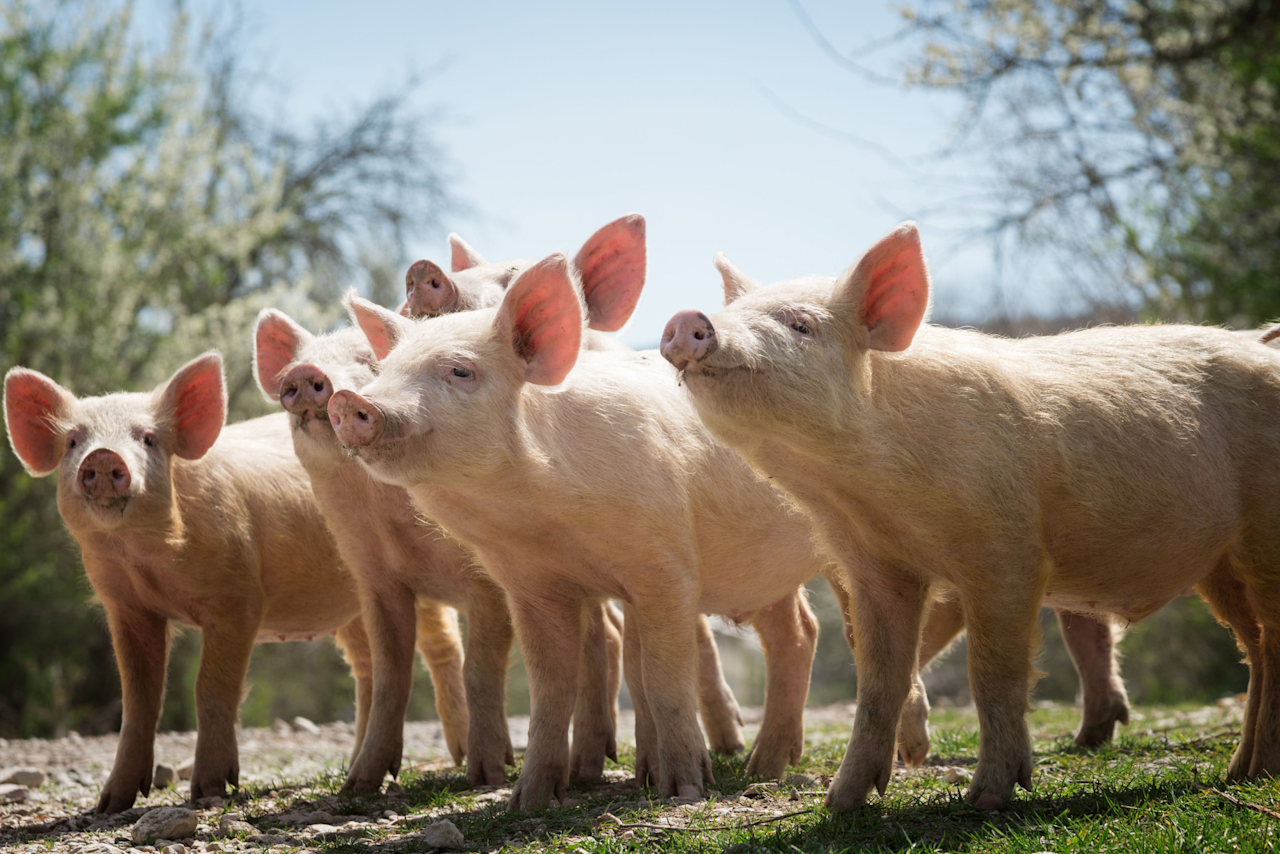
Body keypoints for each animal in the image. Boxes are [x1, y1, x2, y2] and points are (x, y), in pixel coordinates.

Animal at [0, 355, 414, 814]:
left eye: (148, 438)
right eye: (73, 441)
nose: (104, 456)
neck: (145, 559)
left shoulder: (239, 596)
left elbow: (212, 689)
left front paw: (210, 792)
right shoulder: (126, 607)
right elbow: (138, 700)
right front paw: (110, 805)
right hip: (353, 610)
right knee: (367, 669)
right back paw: (353, 777)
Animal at [253, 312, 629, 788]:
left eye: (369, 360)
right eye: (297, 364)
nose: (303, 374)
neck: (390, 522)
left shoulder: (489, 580)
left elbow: (479, 669)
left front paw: (488, 775)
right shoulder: (374, 577)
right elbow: (390, 675)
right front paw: (358, 786)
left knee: (606, 634)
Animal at [325, 257, 834, 814]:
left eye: (460, 371)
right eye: (385, 370)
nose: (348, 401)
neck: (545, 521)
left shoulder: (666, 567)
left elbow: (663, 678)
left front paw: (684, 790)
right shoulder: (533, 586)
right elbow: (551, 687)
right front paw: (528, 800)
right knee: (798, 631)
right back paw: (764, 768)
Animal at [665, 218, 1280, 809]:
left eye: (801, 326)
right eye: (729, 312)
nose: (688, 318)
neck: (863, 493)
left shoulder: (1008, 553)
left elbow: (992, 673)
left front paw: (986, 799)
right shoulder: (877, 567)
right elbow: (879, 681)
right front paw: (841, 804)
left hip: (1263, 532)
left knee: (1271, 639)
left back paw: (1255, 772)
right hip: (1220, 564)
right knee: (1255, 648)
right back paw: (1242, 771)